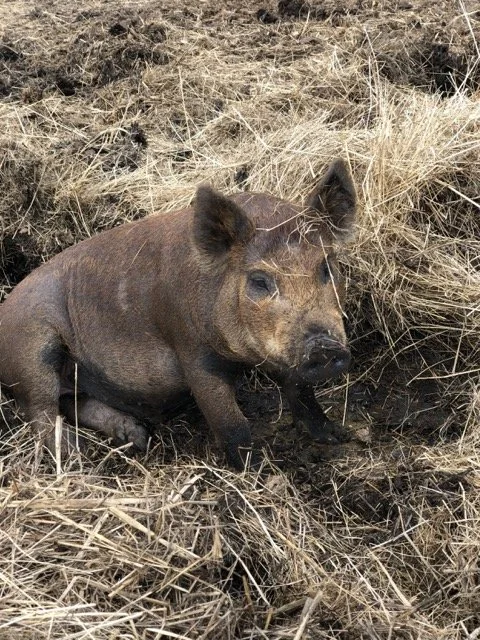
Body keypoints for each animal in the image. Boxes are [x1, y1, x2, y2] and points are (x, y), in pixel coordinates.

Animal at [0, 159, 356, 469]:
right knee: (40, 412)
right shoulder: (192, 351)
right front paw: (255, 472)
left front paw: (339, 436)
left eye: (326, 267)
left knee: (73, 403)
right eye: (259, 280)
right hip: (32, 347)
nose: (324, 345)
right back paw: (78, 457)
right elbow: (230, 422)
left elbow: (302, 393)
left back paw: (137, 436)